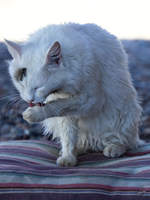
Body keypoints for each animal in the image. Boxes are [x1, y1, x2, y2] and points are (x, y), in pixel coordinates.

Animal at [5, 23, 142, 167]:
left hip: (124, 114)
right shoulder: (67, 113)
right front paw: (68, 158)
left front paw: (32, 114)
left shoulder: (91, 100)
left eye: (38, 88)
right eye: (20, 83)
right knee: (84, 142)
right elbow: (68, 136)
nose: (29, 100)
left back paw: (114, 149)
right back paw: (78, 149)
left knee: (126, 142)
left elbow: (56, 107)